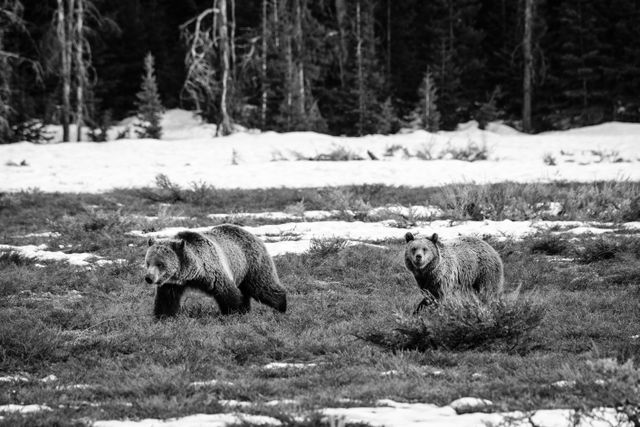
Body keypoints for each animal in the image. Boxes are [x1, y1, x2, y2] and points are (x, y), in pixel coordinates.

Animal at [145, 224, 288, 318]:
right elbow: (166, 300)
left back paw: (281, 307)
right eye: (147, 263)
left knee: (263, 286)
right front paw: (163, 316)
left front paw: (233, 313)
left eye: (160, 264)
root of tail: (253, 235)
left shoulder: (213, 272)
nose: (149, 278)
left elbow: (228, 293)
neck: (192, 274)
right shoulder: (172, 283)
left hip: (252, 264)